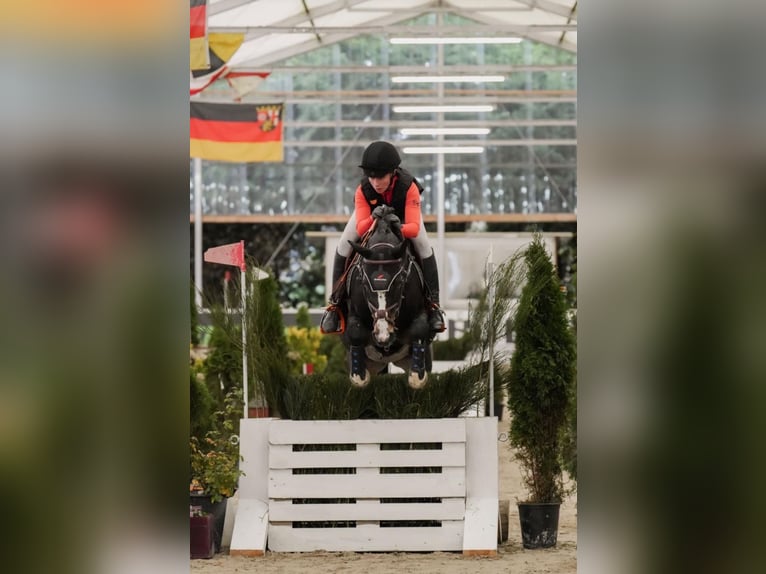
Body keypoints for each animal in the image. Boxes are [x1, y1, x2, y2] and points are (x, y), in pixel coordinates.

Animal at [342, 214, 432, 390]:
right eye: (364, 283)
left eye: (399, 282)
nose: (383, 335)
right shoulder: (353, 310)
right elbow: (355, 332)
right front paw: (359, 374)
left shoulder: (420, 309)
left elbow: (419, 329)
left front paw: (417, 375)